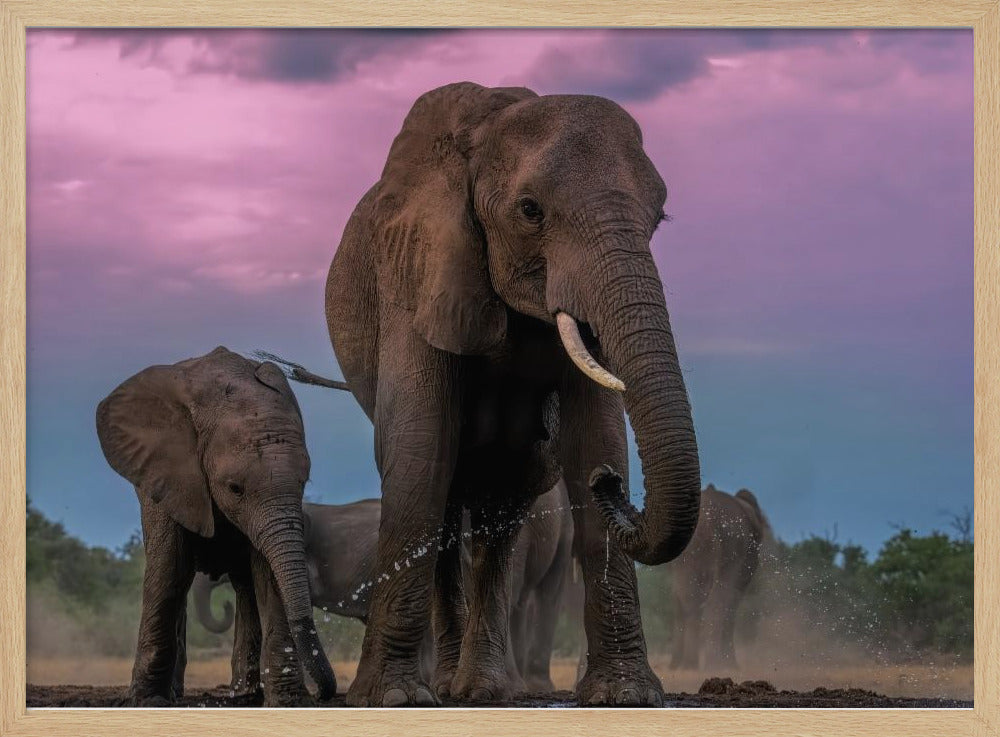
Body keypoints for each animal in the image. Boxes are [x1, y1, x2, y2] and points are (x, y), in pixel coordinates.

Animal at [95, 347, 337, 706]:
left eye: (303, 482)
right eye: (235, 488)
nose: (323, 694)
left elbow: (268, 576)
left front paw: (290, 702)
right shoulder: (168, 474)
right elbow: (169, 569)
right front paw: (148, 702)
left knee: (246, 587)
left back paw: (245, 696)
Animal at [324, 81, 701, 706]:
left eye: (660, 217)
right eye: (530, 211)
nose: (610, 486)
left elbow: (595, 436)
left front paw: (626, 695)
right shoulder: (414, 268)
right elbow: (420, 448)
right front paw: (391, 699)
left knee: (504, 507)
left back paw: (481, 689)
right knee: (448, 494)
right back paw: (447, 687)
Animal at [668, 485, 772, 671]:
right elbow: (732, 601)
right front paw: (730, 666)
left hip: (688, 554)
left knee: (686, 599)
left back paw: (687, 666)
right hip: (730, 547)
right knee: (718, 600)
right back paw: (713, 665)